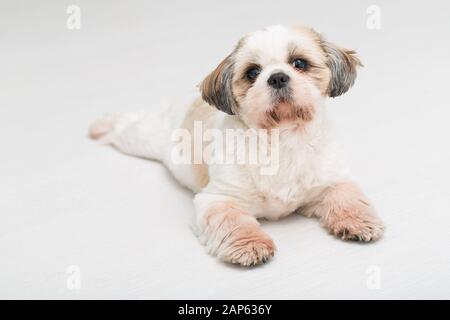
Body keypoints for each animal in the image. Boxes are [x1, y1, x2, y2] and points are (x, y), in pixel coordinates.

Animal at [89, 25, 384, 266]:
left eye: (299, 63)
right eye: (252, 72)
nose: (277, 77)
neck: (281, 137)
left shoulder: (331, 180)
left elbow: (347, 197)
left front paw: (359, 221)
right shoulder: (219, 198)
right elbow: (234, 221)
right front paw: (250, 245)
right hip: (142, 138)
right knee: (125, 127)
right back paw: (105, 125)